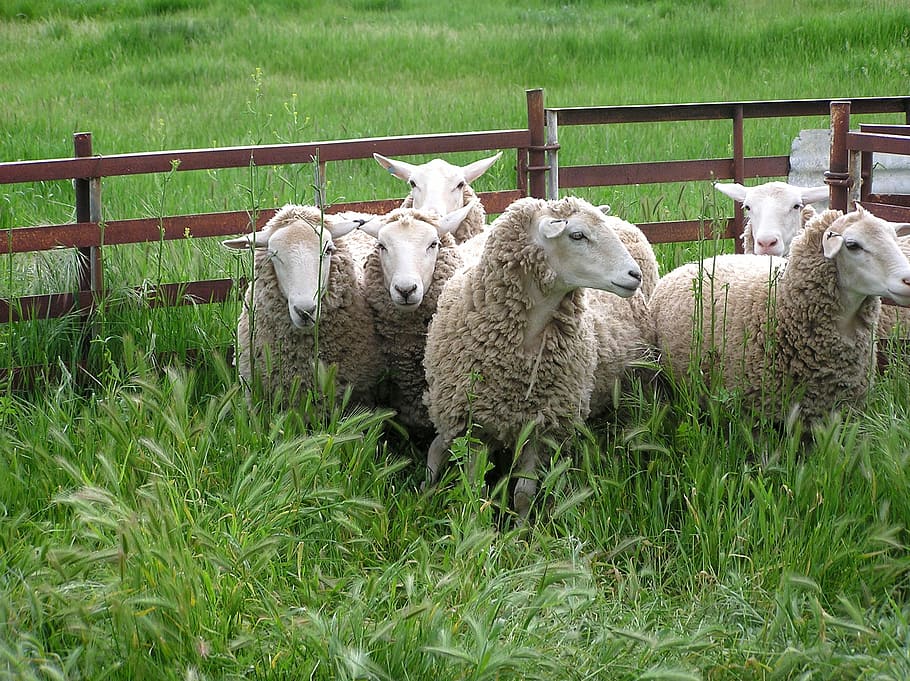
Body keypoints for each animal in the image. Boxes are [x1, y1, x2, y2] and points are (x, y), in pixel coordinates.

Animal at [423, 196, 651, 519]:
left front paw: (520, 530)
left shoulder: (542, 426)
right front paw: (475, 524)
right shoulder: (475, 425)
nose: (634, 275)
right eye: (577, 235)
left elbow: (523, 494)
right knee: (437, 447)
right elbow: (474, 488)